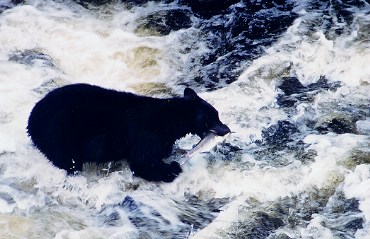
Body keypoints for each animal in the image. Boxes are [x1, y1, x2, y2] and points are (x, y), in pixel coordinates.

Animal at [27, 83, 230, 181]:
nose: (227, 128)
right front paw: (171, 169)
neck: (168, 120)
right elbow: (142, 162)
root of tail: (30, 119)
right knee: (69, 162)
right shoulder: (147, 134)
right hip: (58, 137)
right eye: (214, 117)